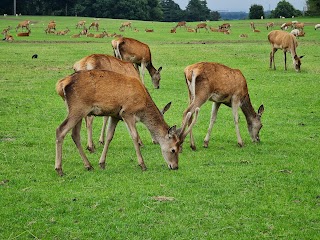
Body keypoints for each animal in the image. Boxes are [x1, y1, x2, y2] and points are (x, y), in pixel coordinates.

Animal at [55, 68, 200, 175]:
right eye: (174, 150)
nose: (175, 166)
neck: (143, 106)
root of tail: (61, 84)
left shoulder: (115, 115)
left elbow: (109, 136)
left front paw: (102, 163)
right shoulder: (127, 113)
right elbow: (134, 136)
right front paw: (142, 165)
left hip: (78, 111)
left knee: (75, 135)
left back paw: (89, 165)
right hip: (78, 108)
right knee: (60, 130)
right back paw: (59, 169)